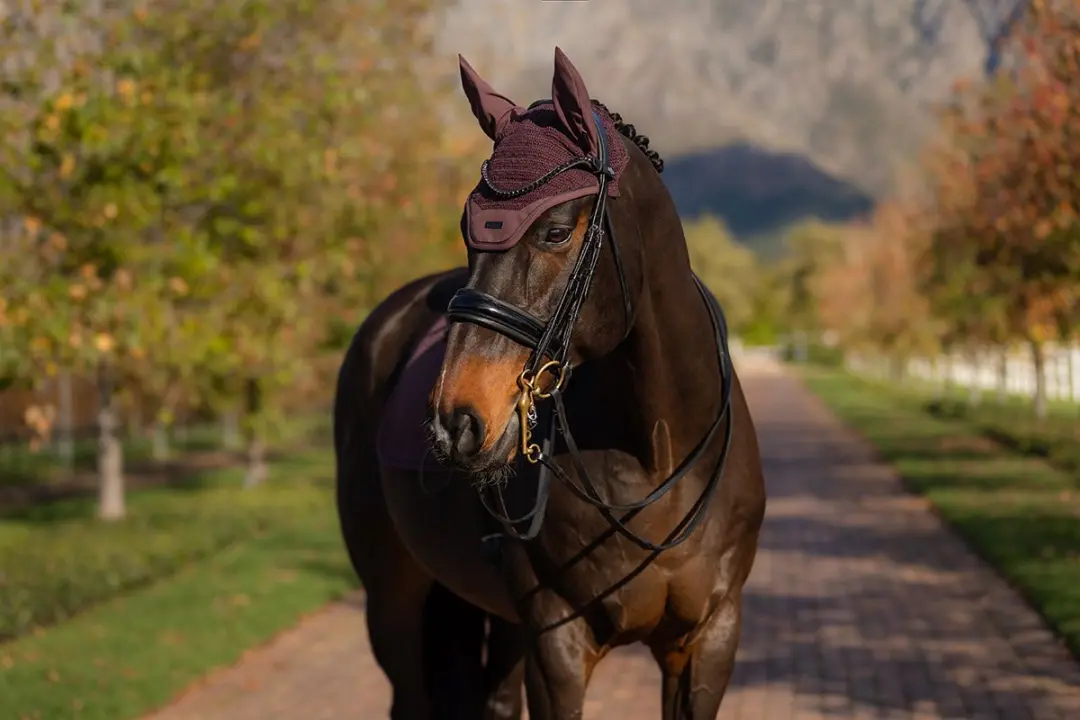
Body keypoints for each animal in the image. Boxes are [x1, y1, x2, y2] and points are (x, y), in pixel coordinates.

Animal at [334, 47, 767, 720]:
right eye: (467, 231)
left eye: (557, 231)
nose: (456, 421)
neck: (659, 452)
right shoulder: (557, 646)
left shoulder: (709, 641)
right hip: (393, 601)